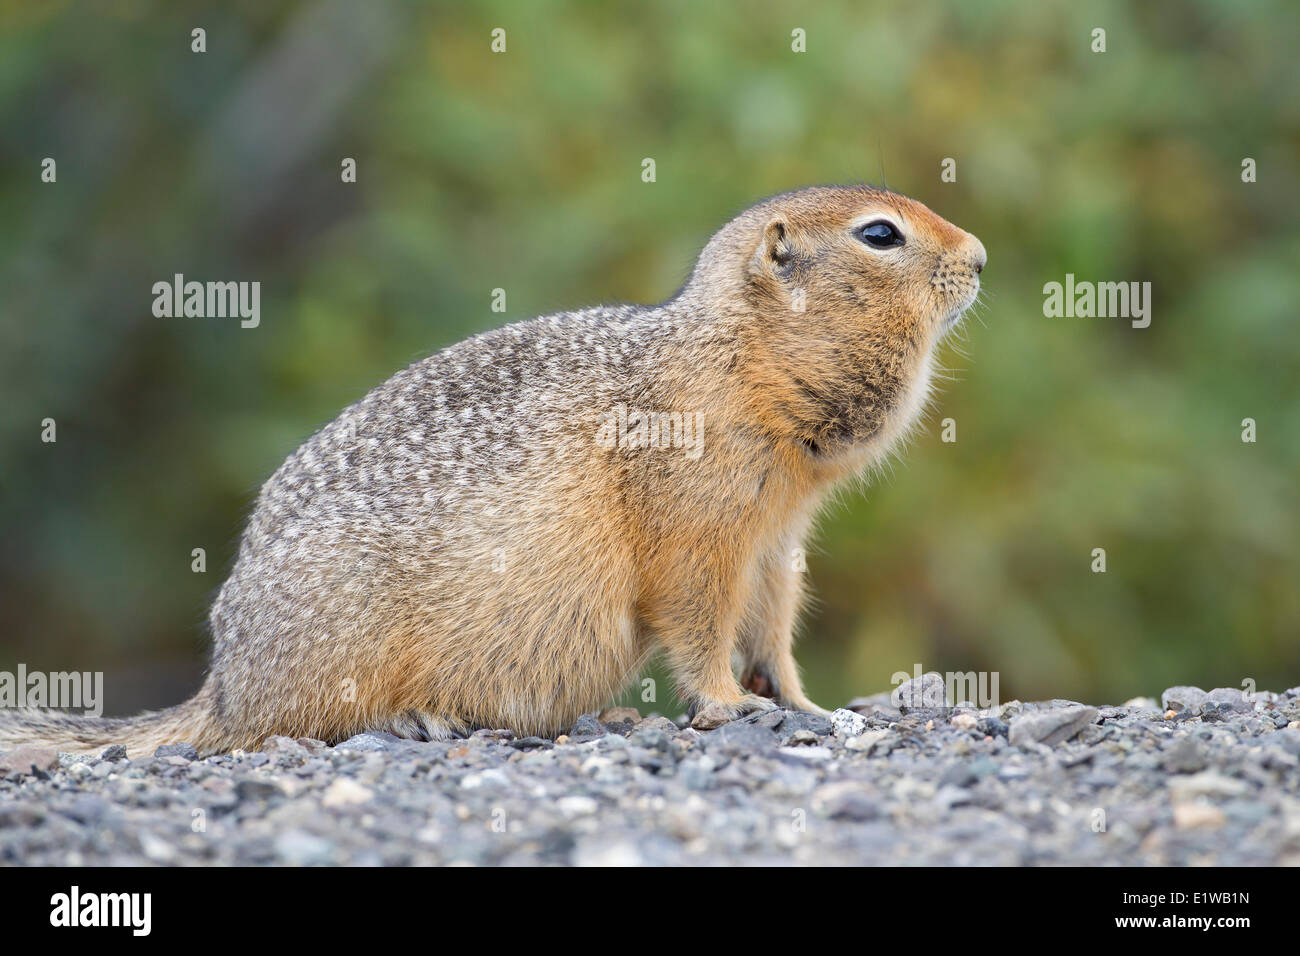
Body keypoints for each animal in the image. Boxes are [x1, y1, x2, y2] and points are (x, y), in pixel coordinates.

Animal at [1, 185, 985, 756]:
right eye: (880, 234)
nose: (979, 257)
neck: (739, 357)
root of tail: (223, 687)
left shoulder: (777, 537)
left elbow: (772, 624)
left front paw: (800, 700)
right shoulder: (700, 523)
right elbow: (697, 617)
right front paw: (725, 706)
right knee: (289, 728)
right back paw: (416, 717)